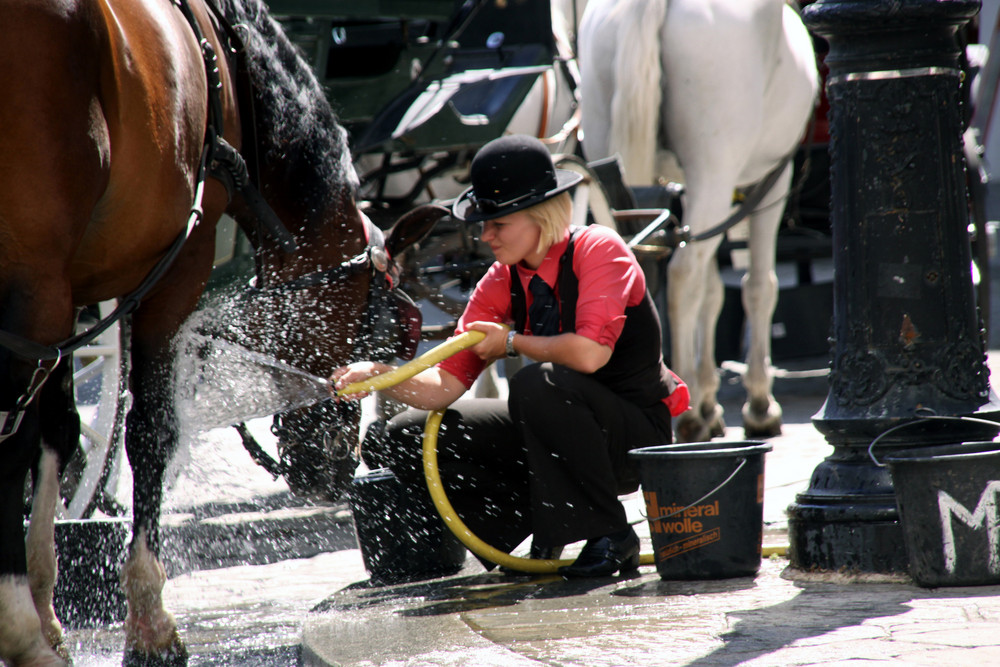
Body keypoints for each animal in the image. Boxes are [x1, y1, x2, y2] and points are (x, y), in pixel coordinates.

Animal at [0, 1, 442, 667]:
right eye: (393, 334)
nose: (334, 472)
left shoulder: (69, 298)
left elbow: (57, 434)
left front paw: (49, 609)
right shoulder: (172, 273)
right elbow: (149, 433)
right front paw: (150, 625)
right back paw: (20, 629)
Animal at [580, 0, 820, 444]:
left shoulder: (689, 194)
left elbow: (712, 294)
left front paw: (711, 401)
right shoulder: (771, 180)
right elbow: (758, 287)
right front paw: (758, 404)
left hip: (607, 147)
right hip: (717, 168)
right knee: (683, 276)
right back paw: (688, 415)